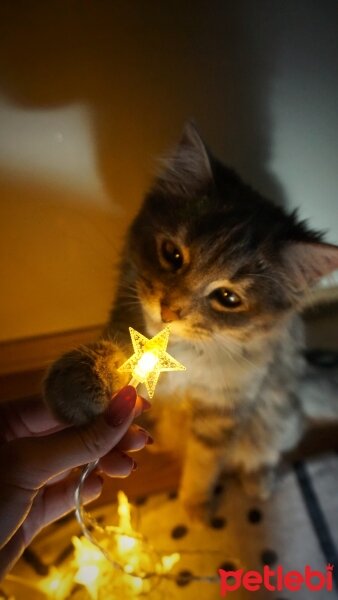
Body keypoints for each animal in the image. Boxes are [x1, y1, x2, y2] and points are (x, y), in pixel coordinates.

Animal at [44, 123, 338, 520]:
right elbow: (109, 358)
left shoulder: (222, 409)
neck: (183, 353)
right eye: (172, 255)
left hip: (274, 420)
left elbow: (204, 462)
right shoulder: (130, 337)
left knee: (265, 453)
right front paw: (76, 387)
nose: (169, 310)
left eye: (228, 299)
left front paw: (195, 507)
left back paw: (258, 482)